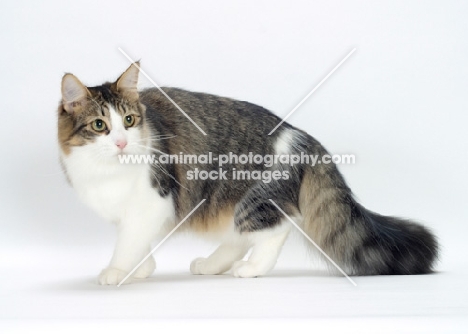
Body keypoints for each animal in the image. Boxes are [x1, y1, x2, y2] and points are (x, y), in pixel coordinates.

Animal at [57, 62, 438, 284]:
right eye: (100, 125)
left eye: (129, 121)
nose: (122, 142)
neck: (105, 171)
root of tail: (301, 135)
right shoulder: (131, 214)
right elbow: (137, 243)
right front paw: (141, 270)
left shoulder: (152, 202)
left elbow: (128, 244)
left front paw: (117, 271)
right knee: (239, 239)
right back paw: (212, 265)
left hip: (255, 199)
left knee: (278, 229)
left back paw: (252, 269)